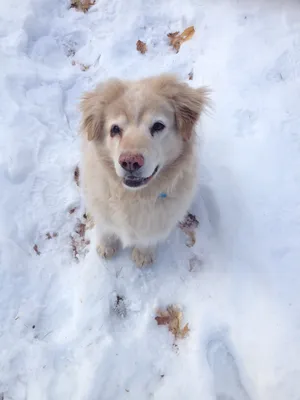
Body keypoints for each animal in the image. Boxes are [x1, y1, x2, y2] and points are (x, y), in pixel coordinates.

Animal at [79, 76, 209, 268]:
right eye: (115, 129)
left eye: (158, 126)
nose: (130, 162)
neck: (135, 197)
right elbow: (106, 229)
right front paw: (105, 247)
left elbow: (147, 238)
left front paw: (143, 255)